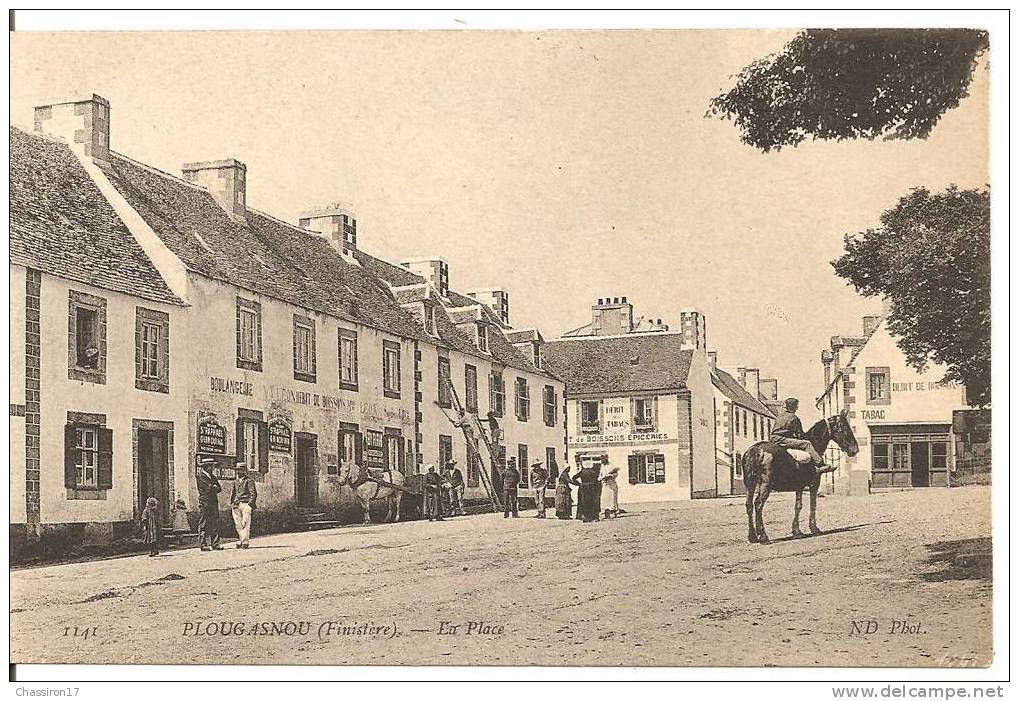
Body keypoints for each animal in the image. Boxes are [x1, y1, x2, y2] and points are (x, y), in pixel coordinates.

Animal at [741, 411, 860, 546]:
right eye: (845, 428)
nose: (855, 449)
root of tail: (755, 450)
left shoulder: (799, 487)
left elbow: (797, 506)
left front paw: (797, 532)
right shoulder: (814, 484)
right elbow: (813, 505)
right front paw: (814, 529)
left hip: (750, 484)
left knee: (749, 505)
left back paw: (752, 537)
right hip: (766, 485)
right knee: (758, 504)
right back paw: (763, 537)